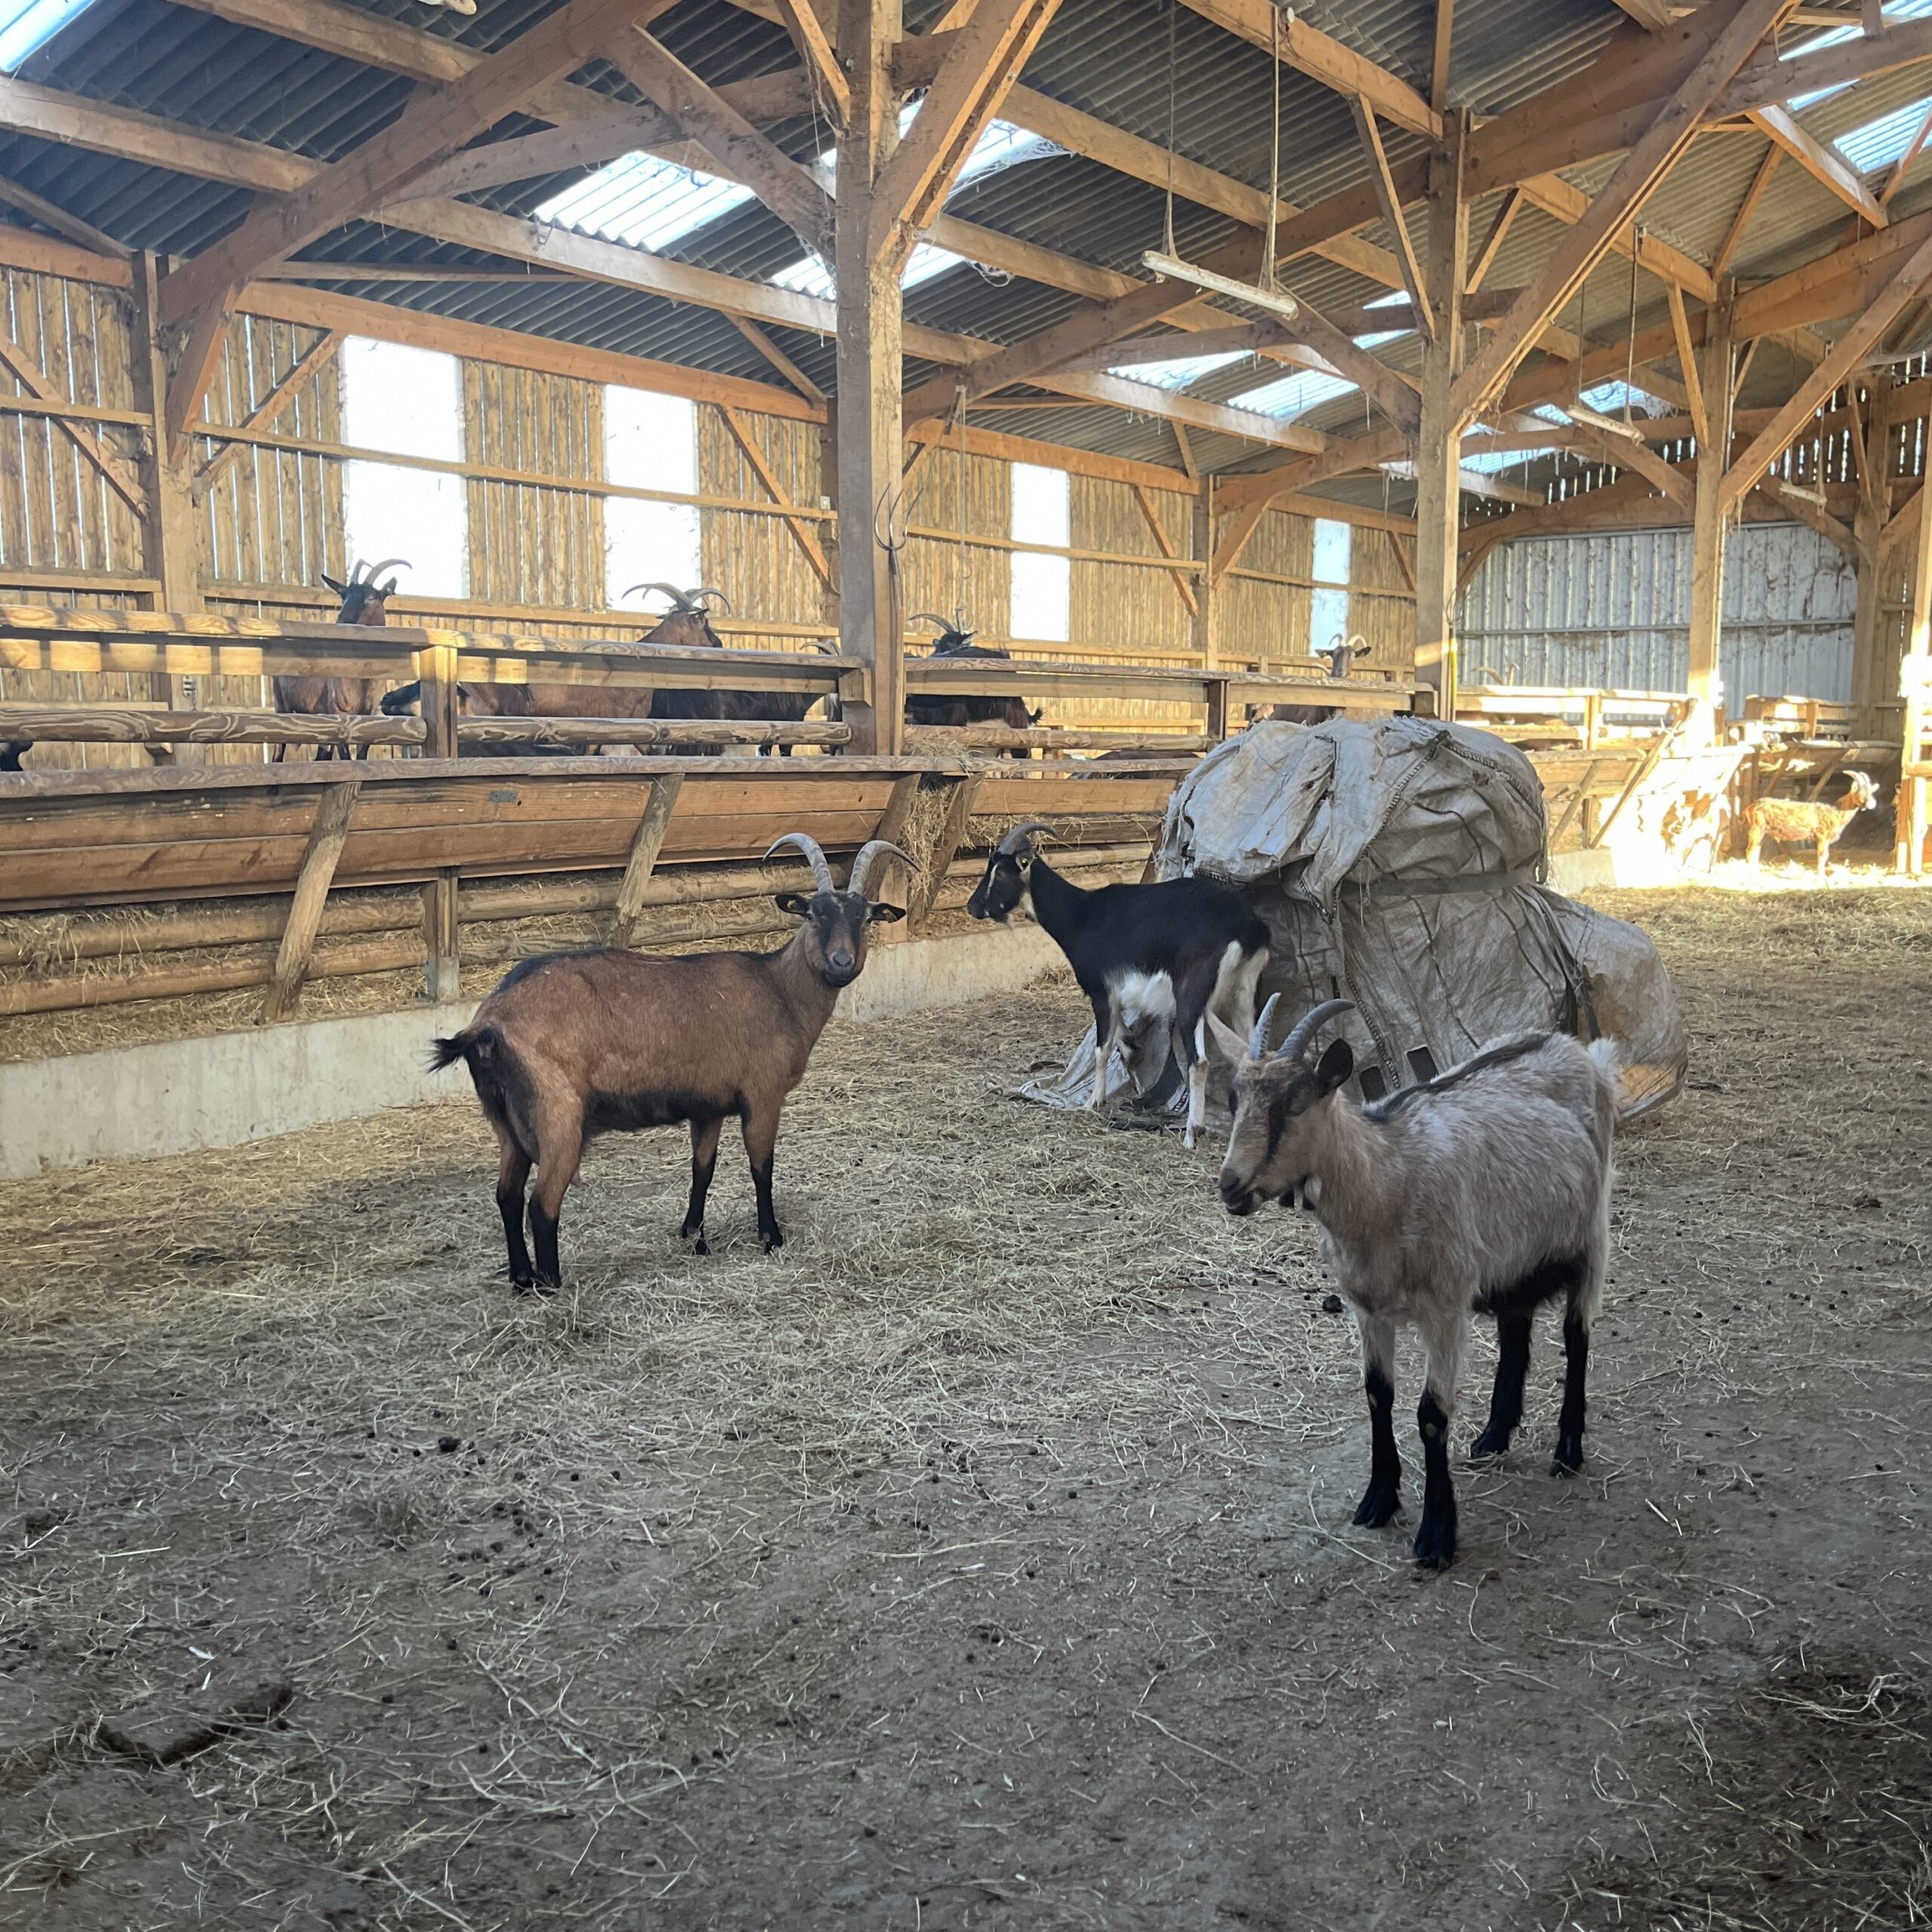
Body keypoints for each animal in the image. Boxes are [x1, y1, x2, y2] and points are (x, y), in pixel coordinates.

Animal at [274, 557, 410, 763]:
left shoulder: (370, 718)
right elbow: (346, 759)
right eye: (343, 596)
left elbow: (361, 757)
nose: (342, 622)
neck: (363, 681)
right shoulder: (339, 715)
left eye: (371, 597)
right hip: (281, 707)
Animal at [430, 832, 914, 1290]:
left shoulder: (709, 1107)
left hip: (507, 1125)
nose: (841, 962)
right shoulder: (763, 1095)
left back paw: (521, 1280)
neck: (778, 990)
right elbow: (762, 1166)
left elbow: (703, 1169)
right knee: (541, 1204)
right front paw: (771, 1237)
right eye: (813, 914)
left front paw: (693, 1234)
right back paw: (552, 1285)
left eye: (866, 917)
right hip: (557, 1117)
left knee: (507, 1196)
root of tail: (486, 1024)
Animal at [966, 821, 1269, 1149]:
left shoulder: (1100, 992)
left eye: (1000, 873)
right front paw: (1131, 1051)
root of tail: (1246, 925)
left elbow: (1103, 1048)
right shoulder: (1115, 995)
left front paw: (1093, 1102)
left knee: (1199, 1061)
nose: (973, 907)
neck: (1081, 915)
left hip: (1192, 996)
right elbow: (1120, 1036)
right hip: (1243, 993)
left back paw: (1192, 1132)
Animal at [1212, 998, 1618, 1571]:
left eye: (1293, 1103)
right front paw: (1378, 1500)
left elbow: (1430, 1415)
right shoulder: (1367, 1308)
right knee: (1516, 1329)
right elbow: (1377, 1395)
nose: (1231, 1186)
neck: (1386, 1179)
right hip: (1514, 1255)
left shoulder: (1444, 1307)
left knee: (1577, 1336)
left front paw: (1436, 1535)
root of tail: (1579, 1049)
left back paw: (1567, 1451)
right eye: (1234, 1099)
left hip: (1590, 1235)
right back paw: (1493, 1437)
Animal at [1745, 770, 1878, 876]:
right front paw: (1821, 877)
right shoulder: (1822, 835)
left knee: (1756, 851)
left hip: (1763, 831)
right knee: (1750, 851)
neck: (1836, 811)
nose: (1872, 804)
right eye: (1861, 793)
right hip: (1757, 828)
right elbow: (1822, 856)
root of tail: (1751, 807)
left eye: (1871, 793)